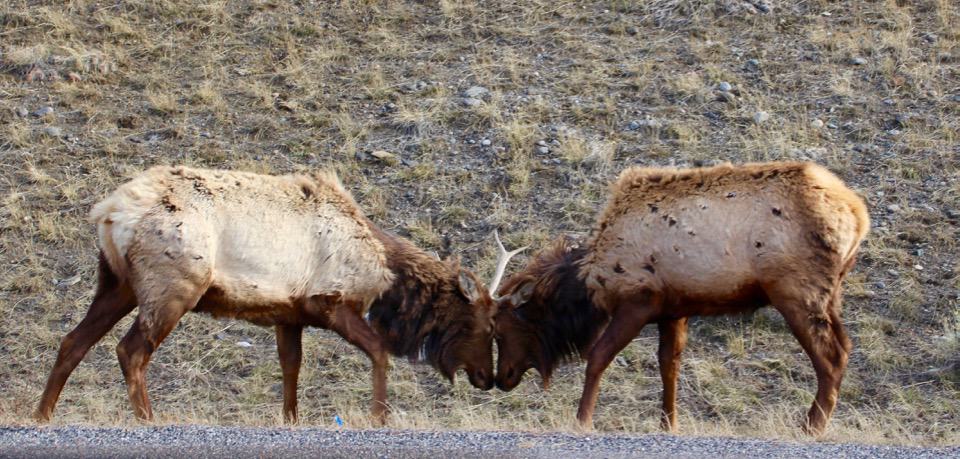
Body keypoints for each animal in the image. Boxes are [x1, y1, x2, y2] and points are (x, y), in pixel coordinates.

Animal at [36, 165, 502, 424]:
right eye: (480, 324)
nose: (487, 377)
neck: (383, 271)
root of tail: (110, 213)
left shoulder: (288, 314)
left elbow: (291, 368)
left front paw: (291, 419)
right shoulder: (330, 301)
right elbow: (379, 351)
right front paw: (379, 417)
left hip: (117, 283)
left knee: (72, 341)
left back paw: (42, 414)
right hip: (172, 286)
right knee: (129, 350)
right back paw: (149, 418)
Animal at [496, 162, 872, 434]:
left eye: (501, 331)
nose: (501, 379)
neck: (591, 283)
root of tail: (858, 215)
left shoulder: (638, 302)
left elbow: (598, 357)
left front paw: (582, 420)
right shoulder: (673, 310)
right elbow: (669, 367)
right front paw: (668, 425)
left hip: (797, 291)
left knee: (831, 357)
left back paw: (811, 427)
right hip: (829, 295)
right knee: (845, 347)